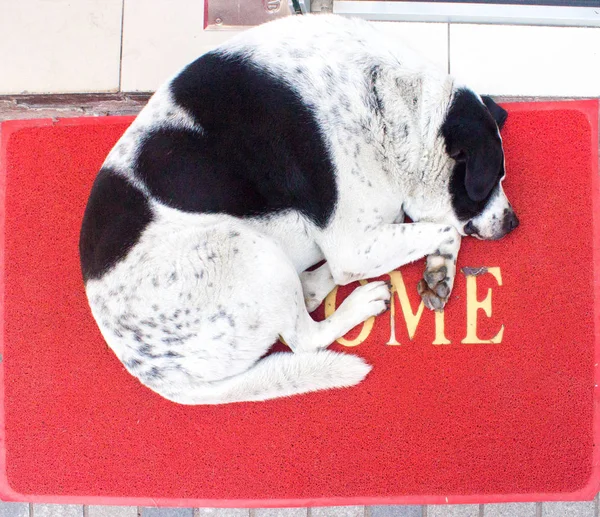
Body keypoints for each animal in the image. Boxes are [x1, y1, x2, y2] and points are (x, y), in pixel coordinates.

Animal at [78, 13, 520, 404]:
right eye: (490, 179)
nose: (513, 222)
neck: (389, 99)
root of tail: (152, 372)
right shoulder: (352, 244)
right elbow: (445, 228)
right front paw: (441, 261)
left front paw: (440, 270)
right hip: (251, 252)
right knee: (305, 337)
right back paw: (359, 303)